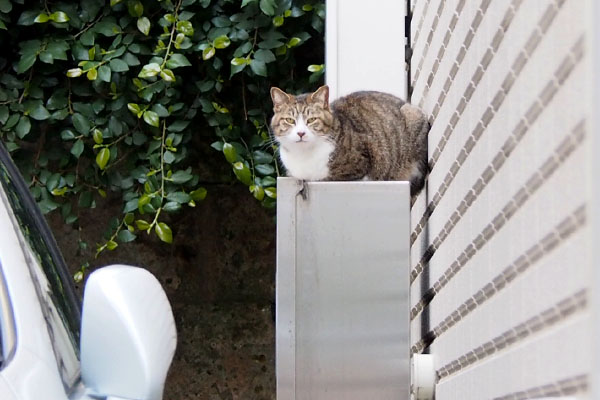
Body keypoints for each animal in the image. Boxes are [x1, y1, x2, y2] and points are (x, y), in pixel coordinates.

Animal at [270, 86, 428, 202]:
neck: (304, 154)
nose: (301, 133)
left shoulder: (356, 167)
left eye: (312, 120)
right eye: (290, 120)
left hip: (413, 119)